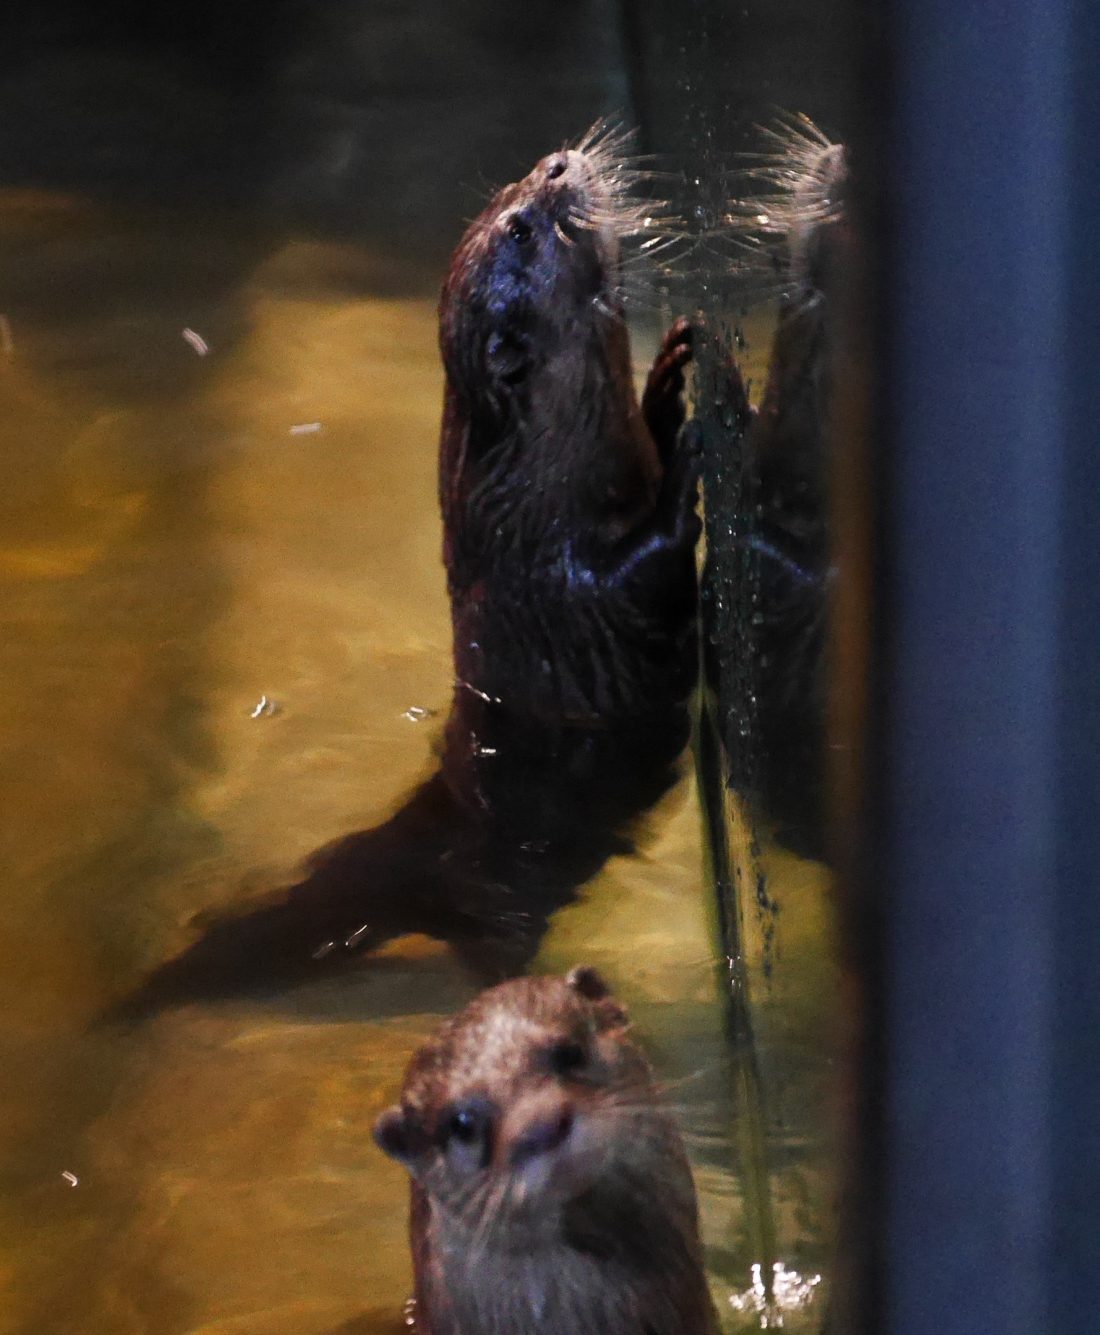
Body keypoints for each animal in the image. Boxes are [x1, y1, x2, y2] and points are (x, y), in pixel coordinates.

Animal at [116, 130, 699, 1014]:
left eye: (508, 194)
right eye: (522, 228)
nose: (560, 162)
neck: (533, 493)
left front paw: (669, 375)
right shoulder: (557, 577)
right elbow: (643, 570)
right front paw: (689, 468)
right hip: (494, 888)